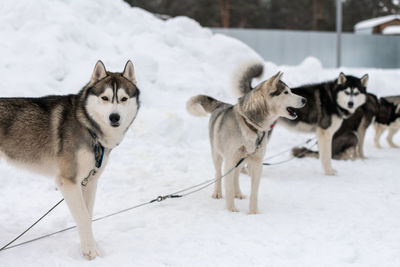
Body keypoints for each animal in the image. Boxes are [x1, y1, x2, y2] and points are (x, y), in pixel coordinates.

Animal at [0, 61, 139, 260]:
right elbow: (83, 217)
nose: (115, 117)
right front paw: (91, 252)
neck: (89, 128)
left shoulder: (90, 181)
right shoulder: (68, 182)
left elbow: (87, 216)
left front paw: (88, 246)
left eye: (124, 98)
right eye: (105, 98)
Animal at [186, 63, 304, 215]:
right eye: (285, 92)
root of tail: (222, 104)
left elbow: (254, 192)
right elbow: (228, 186)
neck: (250, 125)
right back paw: (217, 192)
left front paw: (253, 212)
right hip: (217, 155)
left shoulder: (257, 163)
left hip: (242, 160)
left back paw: (238, 193)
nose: (305, 100)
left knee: (236, 176)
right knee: (218, 173)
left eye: (290, 91)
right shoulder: (230, 160)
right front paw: (231, 209)